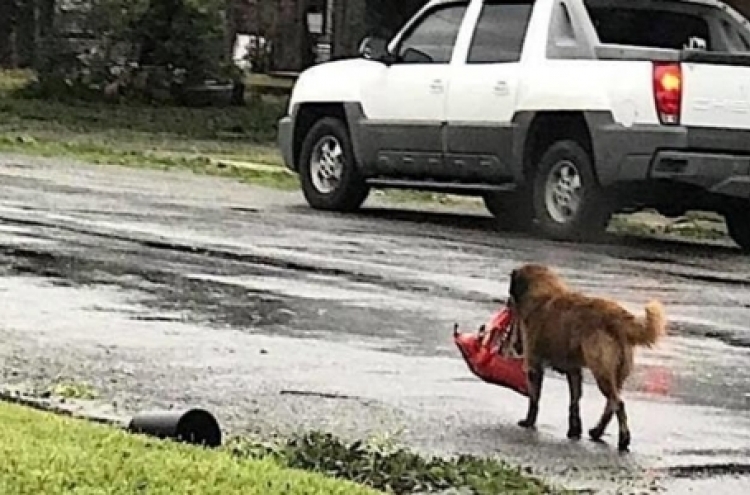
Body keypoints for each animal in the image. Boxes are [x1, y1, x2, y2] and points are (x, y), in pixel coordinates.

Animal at [508, 264, 668, 454]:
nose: (508, 302)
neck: (544, 292)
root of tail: (617, 316)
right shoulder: (574, 371)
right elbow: (574, 402)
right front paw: (574, 430)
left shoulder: (534, 366)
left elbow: (534, 399)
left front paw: (528, 422)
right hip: (616, 374)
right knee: (611, 404)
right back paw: (597, 432)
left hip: (602, 371)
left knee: (618, 404)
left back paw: (623, 439)